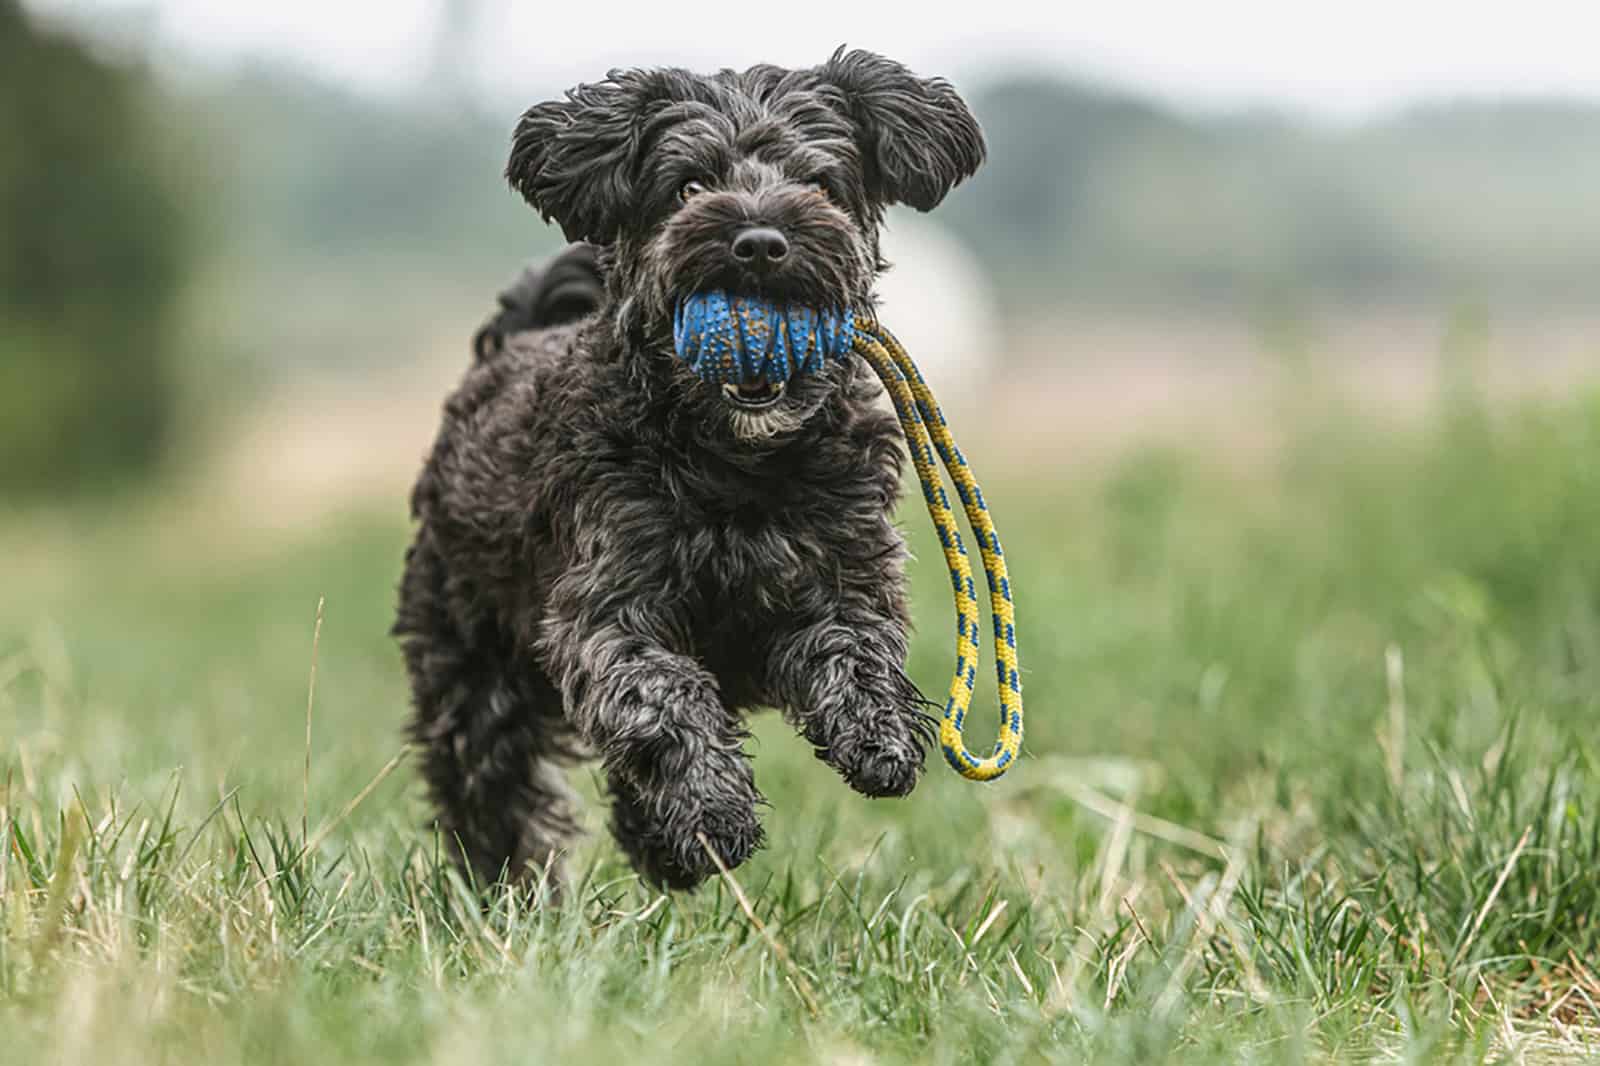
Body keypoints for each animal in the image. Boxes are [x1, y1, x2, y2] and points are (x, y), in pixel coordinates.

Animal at [393, 45, 979, 889]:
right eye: (689, 186)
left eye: (819, 183)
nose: (761, 241)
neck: (739, 463)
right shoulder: (606, 608)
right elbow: (663, 696)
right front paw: (714, 811)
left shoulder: (844, 567)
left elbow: (857, 645)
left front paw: (881, 735)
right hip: (471, 663)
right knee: (490, 786)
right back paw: (510, 891)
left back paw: (660, 846)